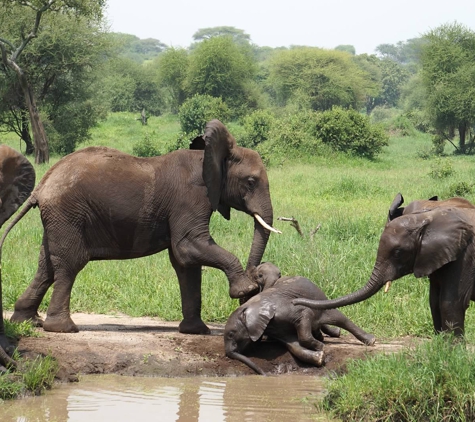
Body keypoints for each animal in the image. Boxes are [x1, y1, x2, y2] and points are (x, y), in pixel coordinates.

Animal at [0, 118, 280, 342]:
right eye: (251, 182)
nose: (256, 284)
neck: (208, 157)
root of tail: (43, 185)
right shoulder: (190, 198)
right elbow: (188, 247)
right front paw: (242, 290)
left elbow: (184, 262)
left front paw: (196, 331)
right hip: (68, 213)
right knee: (70, 263)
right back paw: (63, 329)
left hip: (59, 217)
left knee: (46, 265)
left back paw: (28, 321)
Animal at [223, 262, 376, 374]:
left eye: (231, 334)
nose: (263, 374)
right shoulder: (276, 327)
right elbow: (294, 345)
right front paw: (320, 357)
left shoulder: (290, 310)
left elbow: (304, 319)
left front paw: (322, 347)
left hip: (320, 300)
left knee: (339, 318)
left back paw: (370, 340)